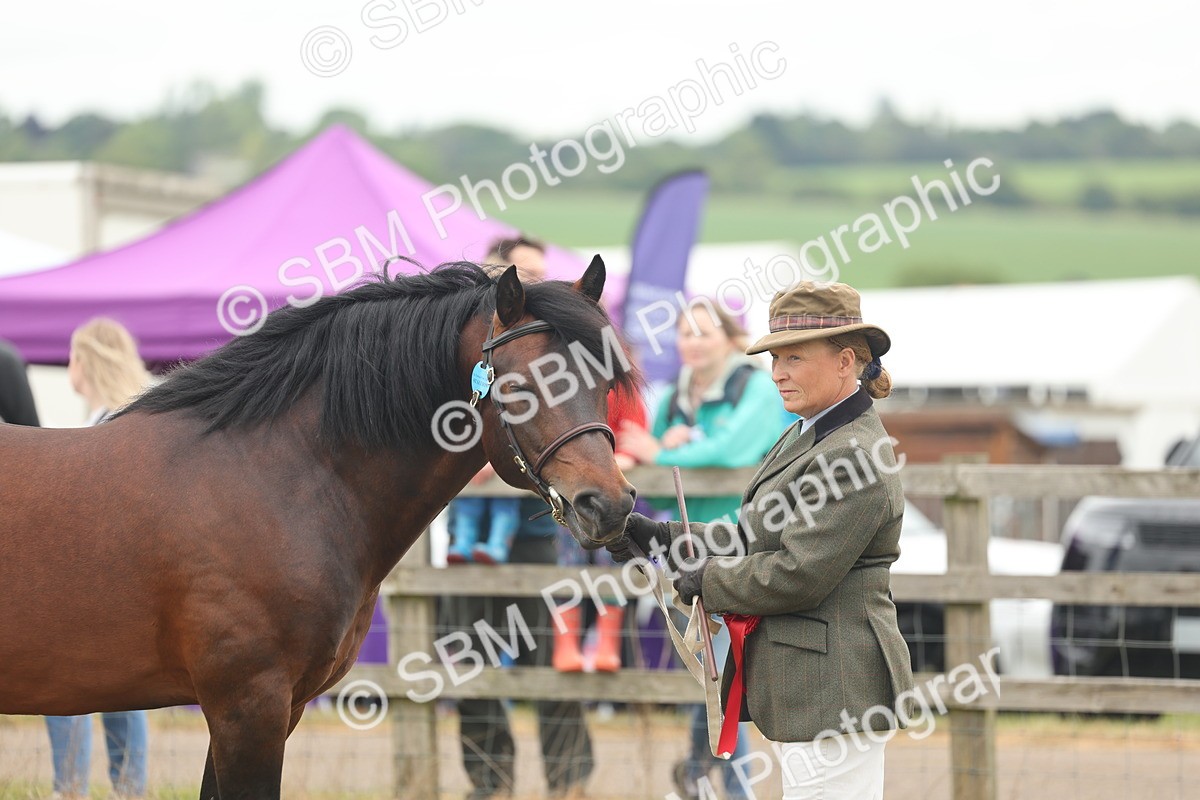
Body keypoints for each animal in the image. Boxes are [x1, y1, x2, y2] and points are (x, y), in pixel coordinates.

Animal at [0, 257, 638, 799]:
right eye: (519, 387)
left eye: (605, 384)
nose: (607, 505)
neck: (275, 476)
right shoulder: (247, 706)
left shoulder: (273, 709)